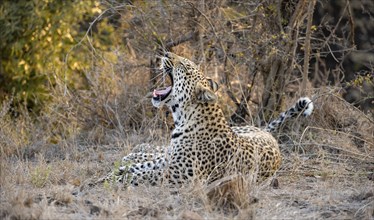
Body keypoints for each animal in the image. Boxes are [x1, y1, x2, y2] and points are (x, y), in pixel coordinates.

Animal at [101, 52, 312, 186]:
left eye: (184, 66)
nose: (166, 53)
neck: (183, 118)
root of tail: (267, 134)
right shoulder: (168, 162)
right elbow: (139, 167)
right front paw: (111, 174)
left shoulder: (176, 173)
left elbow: (141, 174)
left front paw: (113, 179)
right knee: (155, 151)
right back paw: (135, 152)